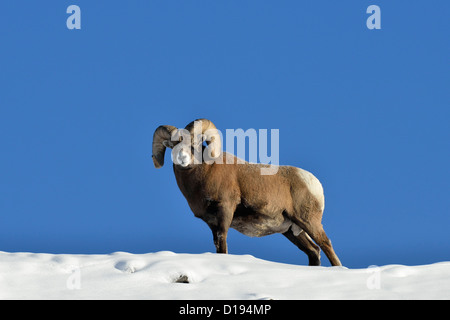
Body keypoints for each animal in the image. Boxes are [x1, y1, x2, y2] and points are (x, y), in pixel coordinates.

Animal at [153, 119, 342, 266]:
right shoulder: (212, 223)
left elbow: (222, 241)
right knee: (314, 251)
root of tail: (314, 183)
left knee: (325, 244)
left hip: (308, 222)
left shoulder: (225, 211)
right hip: (292, 231)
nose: (182, 158)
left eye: (195, 144)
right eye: (173, 145)